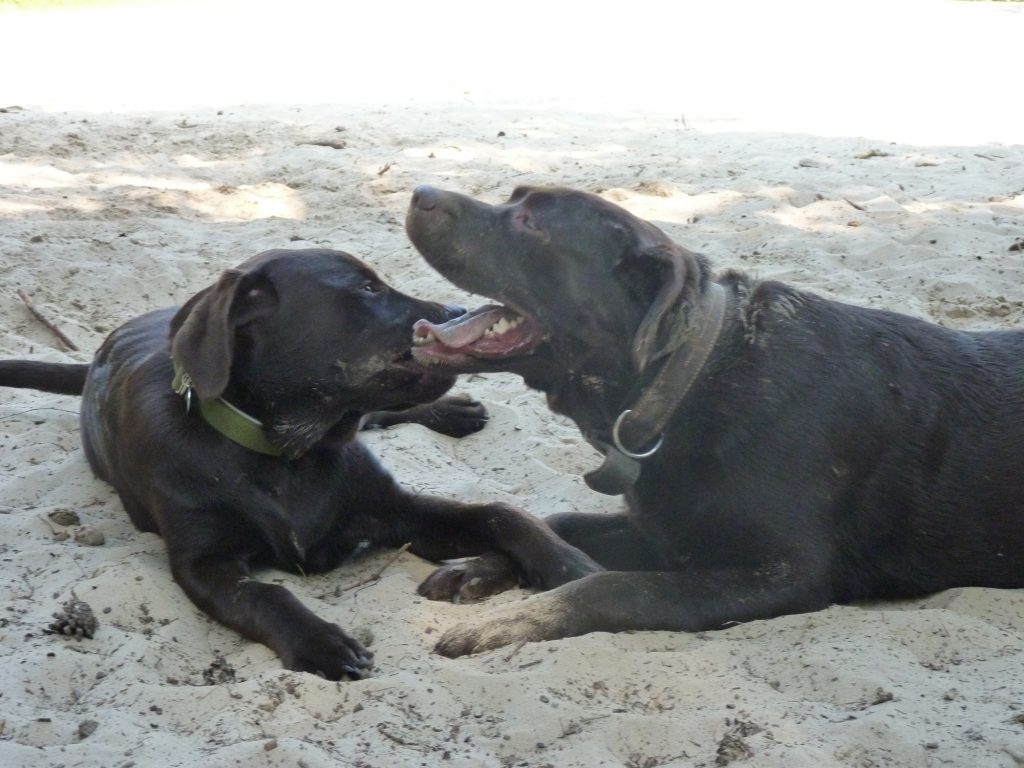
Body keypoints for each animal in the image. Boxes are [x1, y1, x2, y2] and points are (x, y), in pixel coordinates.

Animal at [0, 249, 602, 675]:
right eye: (366, 287)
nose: (459, 312)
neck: (284, 455)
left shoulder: (395, 510)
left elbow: (502, 513)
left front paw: (567, 564)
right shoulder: (203, 560)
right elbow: (264, 594)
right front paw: (320, 640)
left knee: (381, 416)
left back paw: (451, 412)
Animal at [403, 183, 1024, 659]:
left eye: (530, 223)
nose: (420, 193)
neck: (692, 380)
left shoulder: (783, 574)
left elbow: (609, 588)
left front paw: (510, 622)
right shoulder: (665, 531)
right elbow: (558, 521)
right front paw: (480, 566)